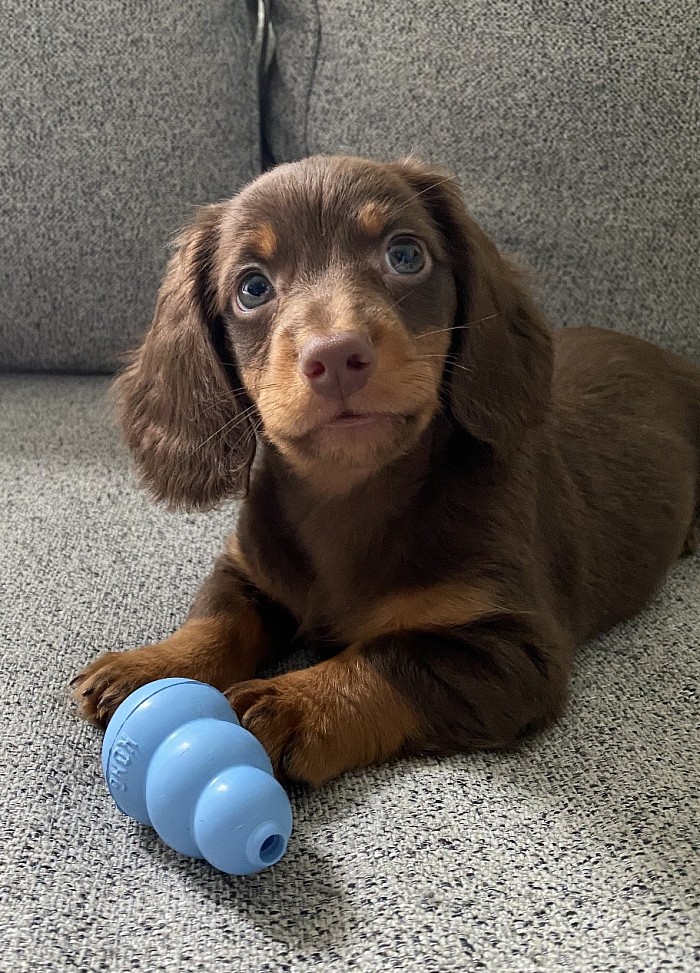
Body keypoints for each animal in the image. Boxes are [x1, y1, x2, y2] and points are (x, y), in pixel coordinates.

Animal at [72, 156, 700, 784]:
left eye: (405, 254)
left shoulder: (515, 649)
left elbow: (388, 658)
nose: (335, 357)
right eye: (252, 287)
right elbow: (219, 617)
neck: (346, 497)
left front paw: (292, 702)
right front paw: (153, 664)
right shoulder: (247, 567)